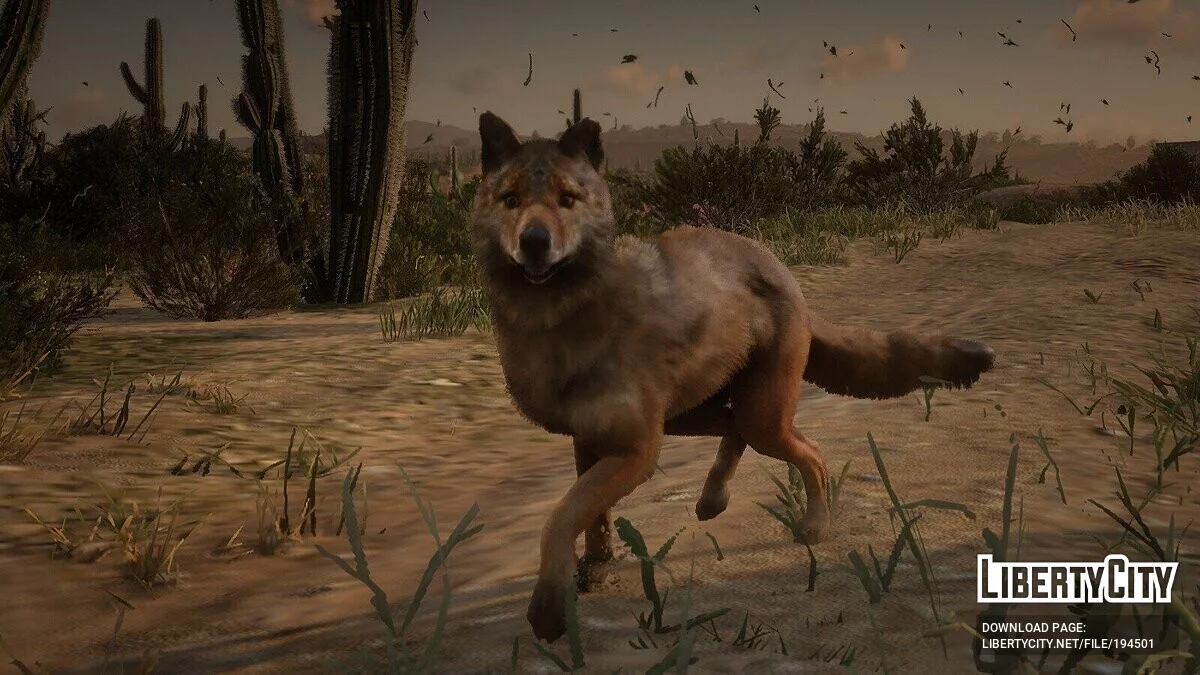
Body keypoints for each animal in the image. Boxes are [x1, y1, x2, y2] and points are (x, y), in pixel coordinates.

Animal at [471, 111, 996, 643]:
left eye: (567, 199)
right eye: (511, 200)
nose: (535, 243)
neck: (565, 322)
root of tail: (783, 274)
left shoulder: (636, 453)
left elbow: (560, 516)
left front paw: (549, 607)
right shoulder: (591, 441)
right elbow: (590, 516)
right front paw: (593, 571)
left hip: (758, 418)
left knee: (810, 450)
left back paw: (813, 527)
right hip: (696, 413)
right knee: (735, 429)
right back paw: (713, 498)